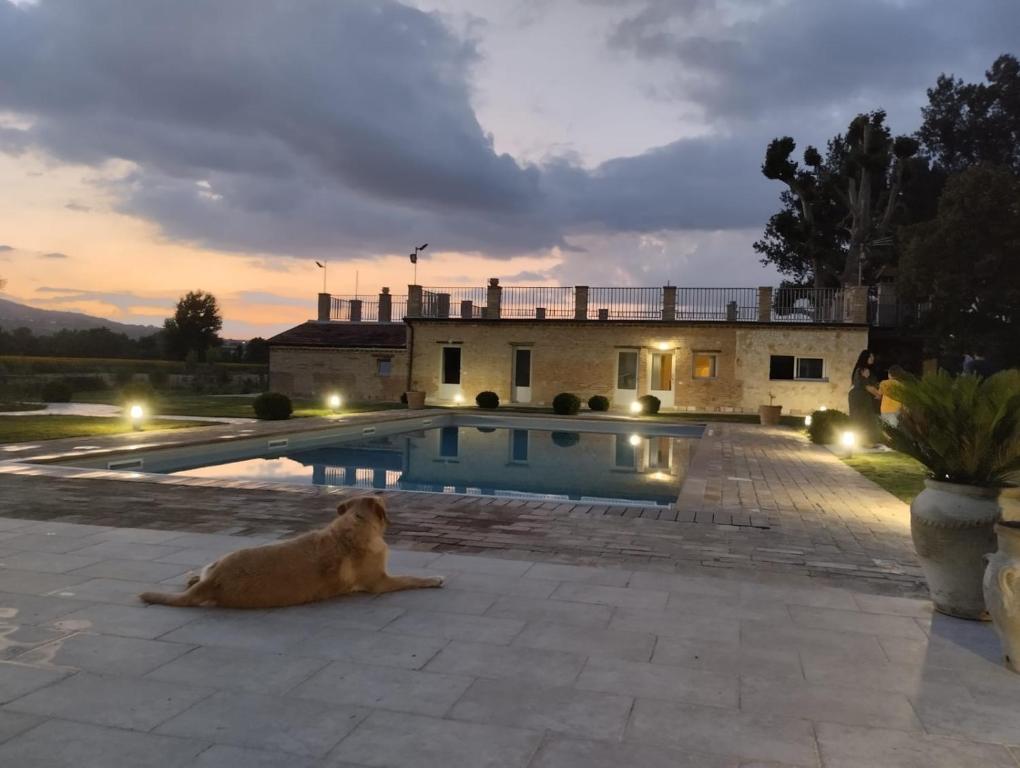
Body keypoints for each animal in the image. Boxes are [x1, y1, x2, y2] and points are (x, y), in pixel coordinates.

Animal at [137, 493, 440, 607]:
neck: (354, 522)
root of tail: (214, 581)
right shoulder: (380, 582)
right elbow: (411, 578)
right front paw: (434, 578)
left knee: (197, 575)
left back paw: (191, 577)